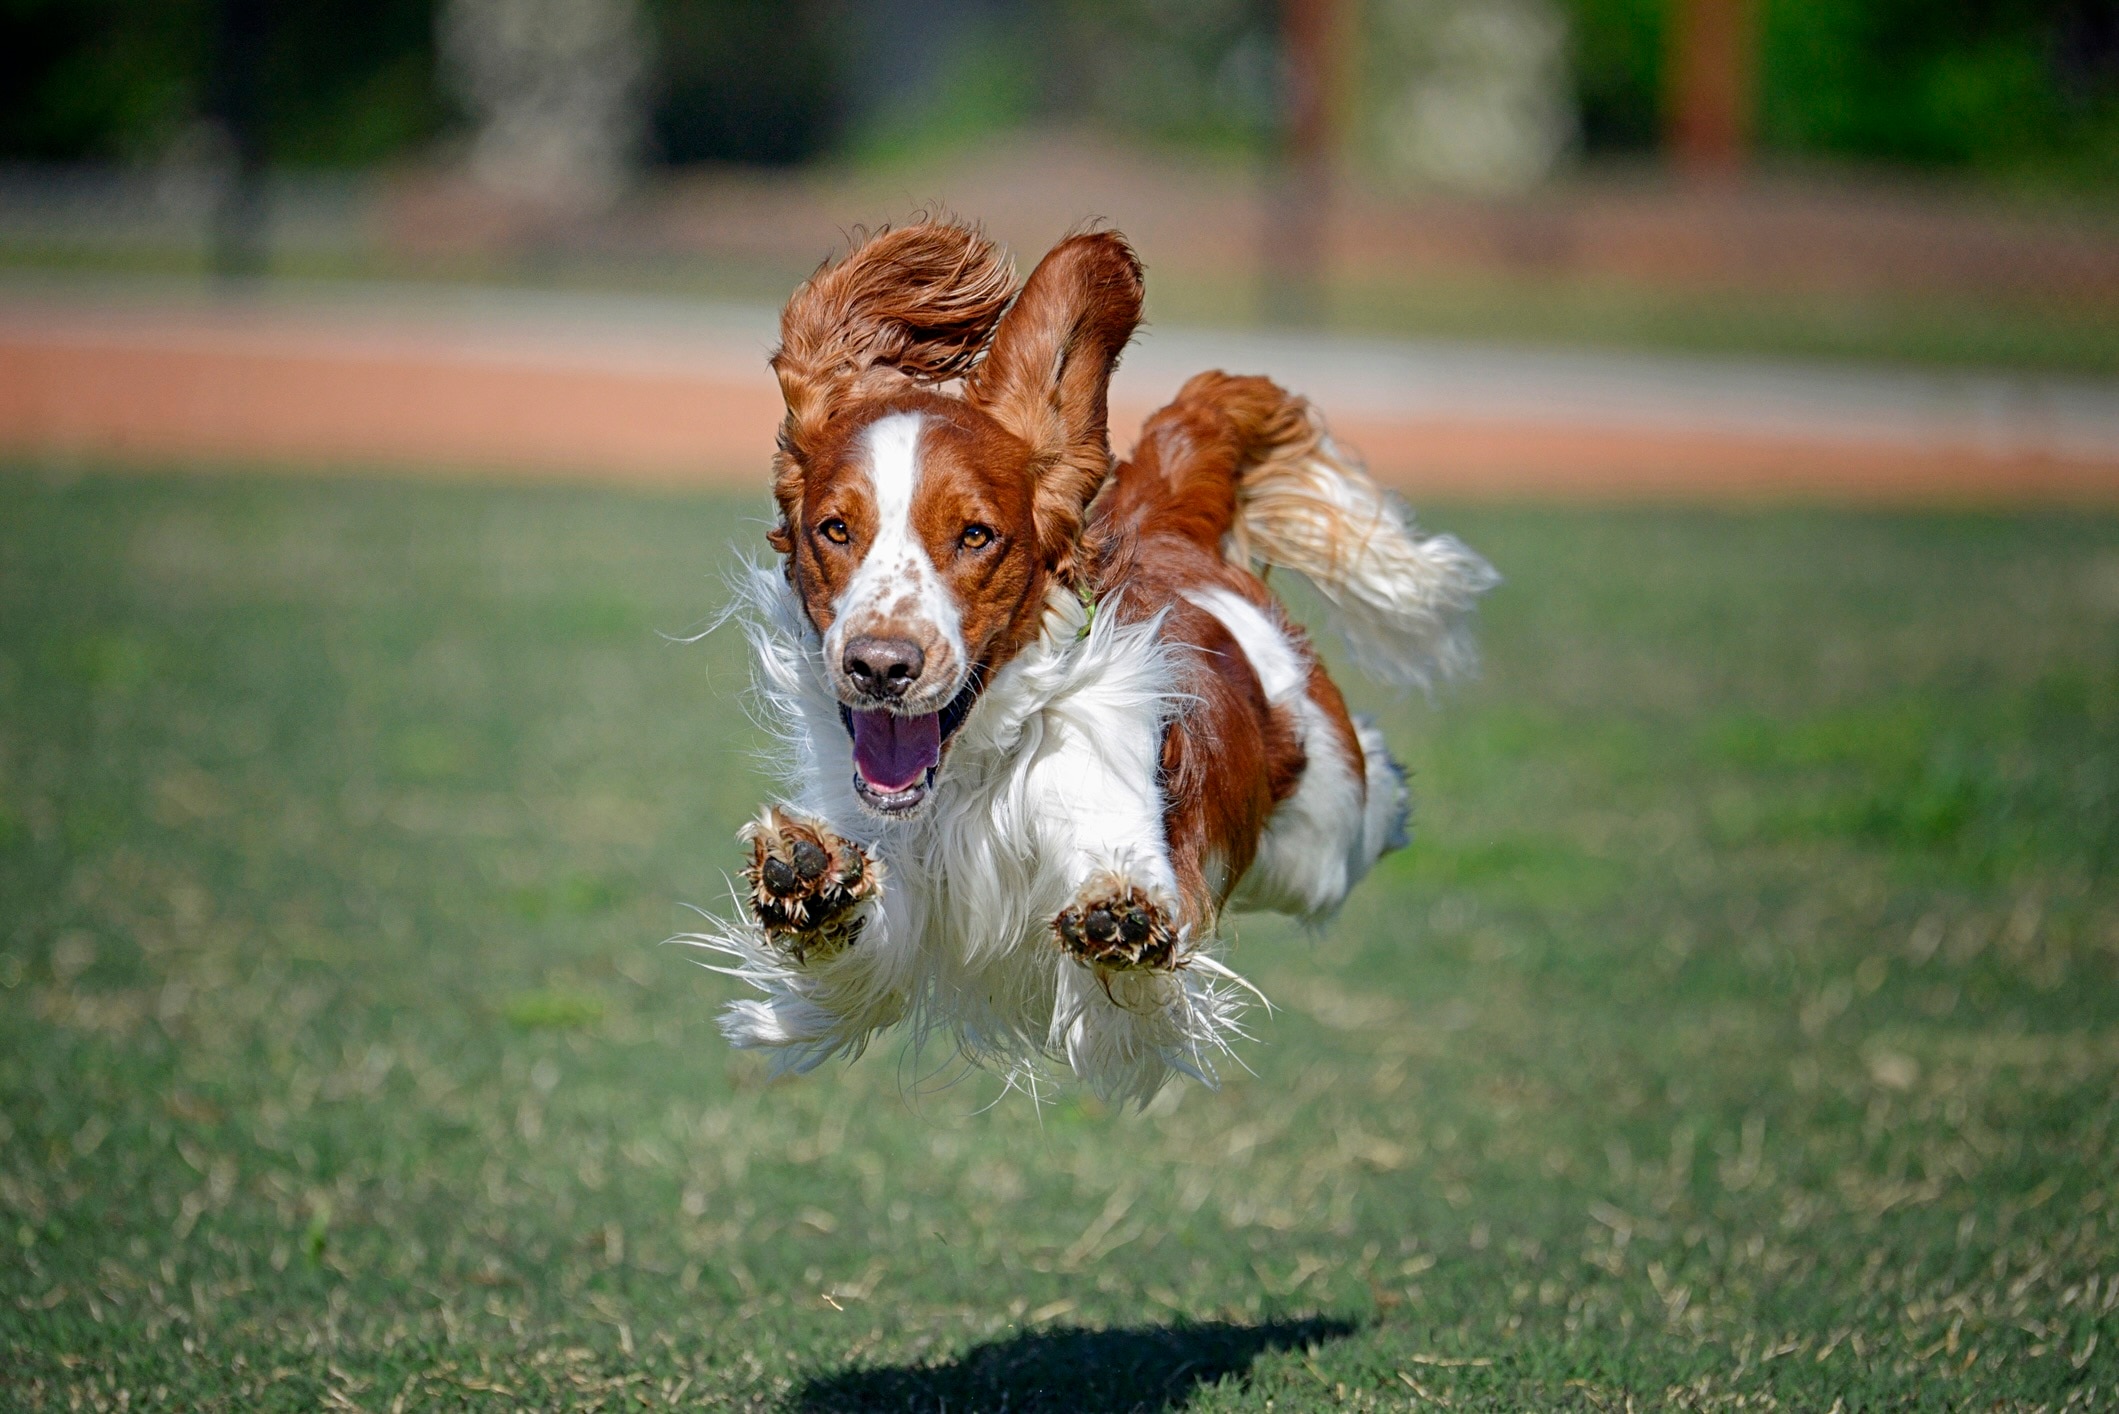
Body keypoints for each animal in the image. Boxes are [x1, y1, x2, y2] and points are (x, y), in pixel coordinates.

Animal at [695, 221, 1491, 1102]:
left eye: (975, 535)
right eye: (835, 529)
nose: (880, 666)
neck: (973, 774)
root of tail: (1164, 520)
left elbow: (1131, 942)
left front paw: (1121, 915)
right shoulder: (890, 892)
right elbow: (863, 950)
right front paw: (808, 875)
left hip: (1321, 838)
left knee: (1367, 795)